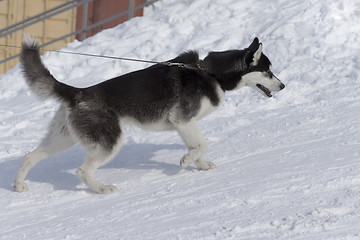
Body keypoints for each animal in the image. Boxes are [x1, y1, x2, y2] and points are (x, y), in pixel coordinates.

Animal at [13, 35, 284, 193]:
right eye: (268, 72)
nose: (283, 86)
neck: (210, 73)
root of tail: (78, 92)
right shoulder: (183, 119)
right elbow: (202, 144)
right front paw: (186, 161)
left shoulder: (184, 124)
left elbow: (197, 146)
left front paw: (199, 164)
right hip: (110, 141)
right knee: (82, 171)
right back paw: (101, 189)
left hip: (62, 139)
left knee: (30, 156)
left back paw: (19, 184)